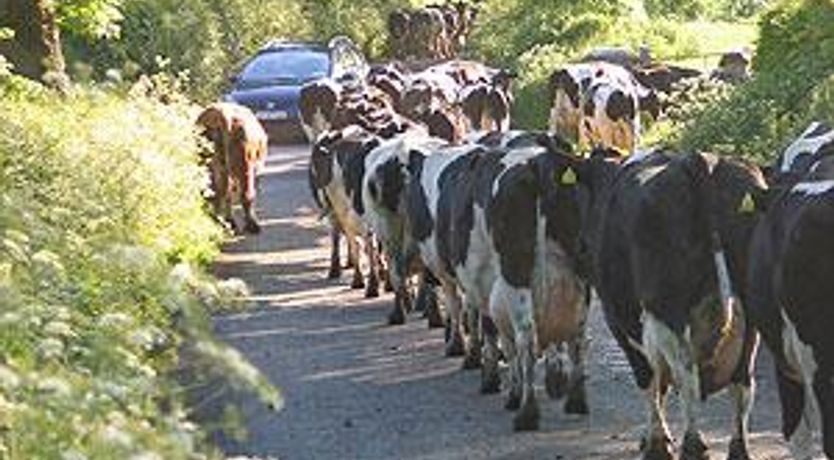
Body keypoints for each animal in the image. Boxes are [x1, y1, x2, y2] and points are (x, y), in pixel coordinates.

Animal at [196, 103, 266, 234]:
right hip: (243, 165)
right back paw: (249, 224)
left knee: (219, 191)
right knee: (243, 193)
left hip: (213, 164)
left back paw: (221, 221)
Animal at [360, 132, 588, 432]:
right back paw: (575, 399)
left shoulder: (470, 277)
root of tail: (536, 165)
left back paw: (526, 411)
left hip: (507, 274)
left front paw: (478, 364)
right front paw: (551, 378)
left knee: (525, 337)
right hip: (579, 273)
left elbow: (470, 315)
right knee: (578, 333)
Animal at [580, 149, 768, 458]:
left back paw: (693, 444)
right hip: (751, 312)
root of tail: (699, 158)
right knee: (743, 380)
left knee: (686, 372)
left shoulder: (618, 315)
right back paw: (739, 448)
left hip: (666, 305)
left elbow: (649, 378)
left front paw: (656, 441)